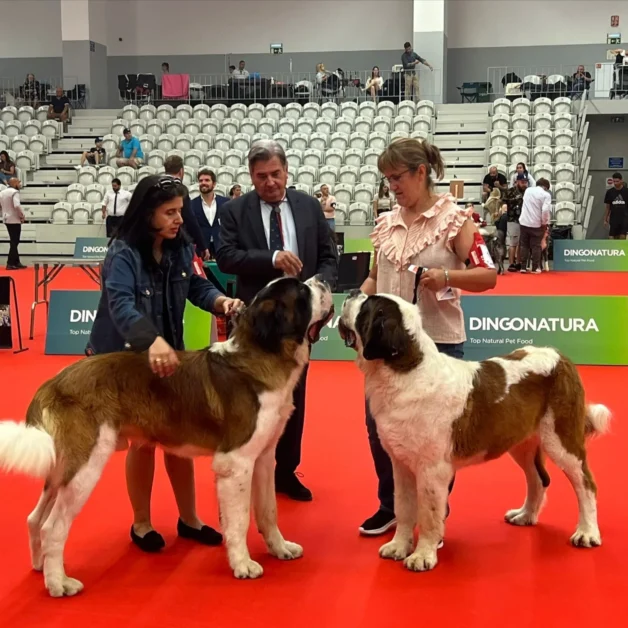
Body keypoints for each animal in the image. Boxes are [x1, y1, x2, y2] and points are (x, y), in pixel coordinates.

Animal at [0, 276, 334, 600]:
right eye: (301, 291)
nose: (325, 280)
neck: (265, 352)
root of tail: (53, 382)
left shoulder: (262, 457)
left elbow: (268, 511)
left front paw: (280, 548)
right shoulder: (236, 462)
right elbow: (239, 519)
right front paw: (243, 564)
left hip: (62, 467)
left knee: (34, 518)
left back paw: (41, 567)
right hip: (84, 466)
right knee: (52, 527)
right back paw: (59, 583)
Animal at [340, 292, 612, 572]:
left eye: (366, 307)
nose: (351, 293)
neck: (405, 371)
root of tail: (559, 355)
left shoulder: (432, 470)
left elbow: (428, 513)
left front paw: (423, 555)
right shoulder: (401, 464)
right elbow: (403, 507)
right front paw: (398, 546)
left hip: (561, 440)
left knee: (586, 484)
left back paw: (587, 532)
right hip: (521, 443)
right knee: (538, 479)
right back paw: (525, 515)